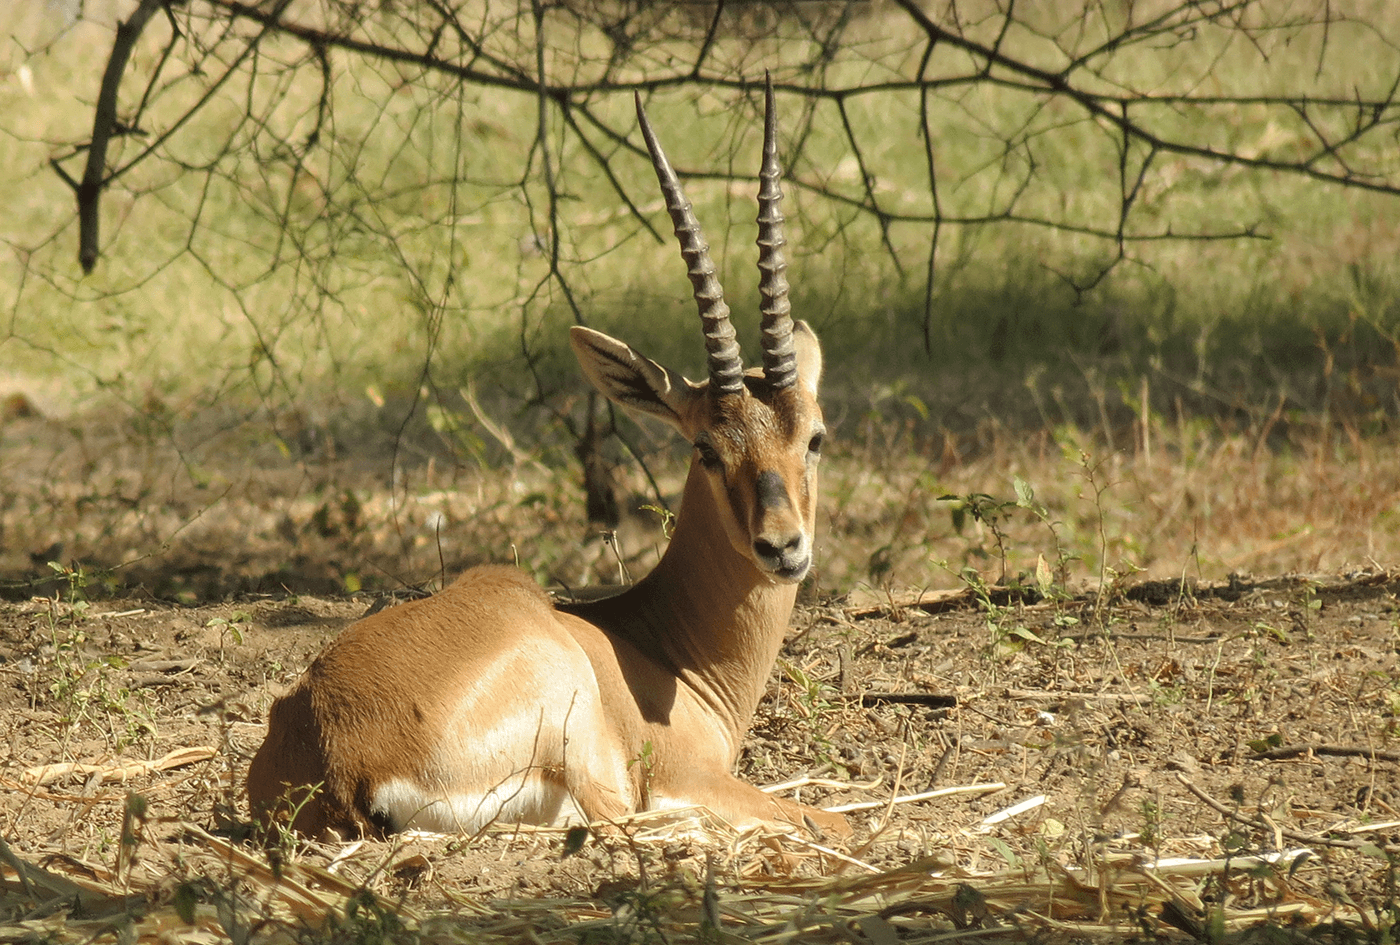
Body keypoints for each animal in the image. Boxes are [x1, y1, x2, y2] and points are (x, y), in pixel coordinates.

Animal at [246, 83, 845, 845]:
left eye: (814, 437)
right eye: (707, 447)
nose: (783, 546)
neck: (660, 647)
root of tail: (340, 753)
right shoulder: (692, 777)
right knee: (621, 821)